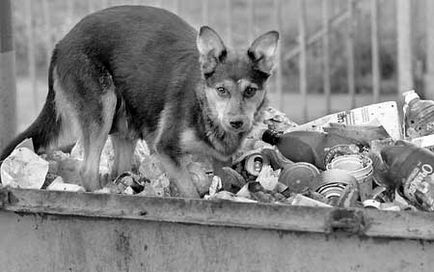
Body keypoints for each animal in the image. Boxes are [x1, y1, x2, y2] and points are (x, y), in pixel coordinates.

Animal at [0, 5, 278, 198]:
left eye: (250, 91)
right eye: (221, 90)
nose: (236, 123)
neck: (203, 106)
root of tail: (60, 44)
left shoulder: (220, 161)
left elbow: (221, 178)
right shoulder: (165, 149)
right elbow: (190, 192)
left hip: (125, 126)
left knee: (116, 170)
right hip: (102, 109)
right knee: (88, 170)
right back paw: (102, 195)